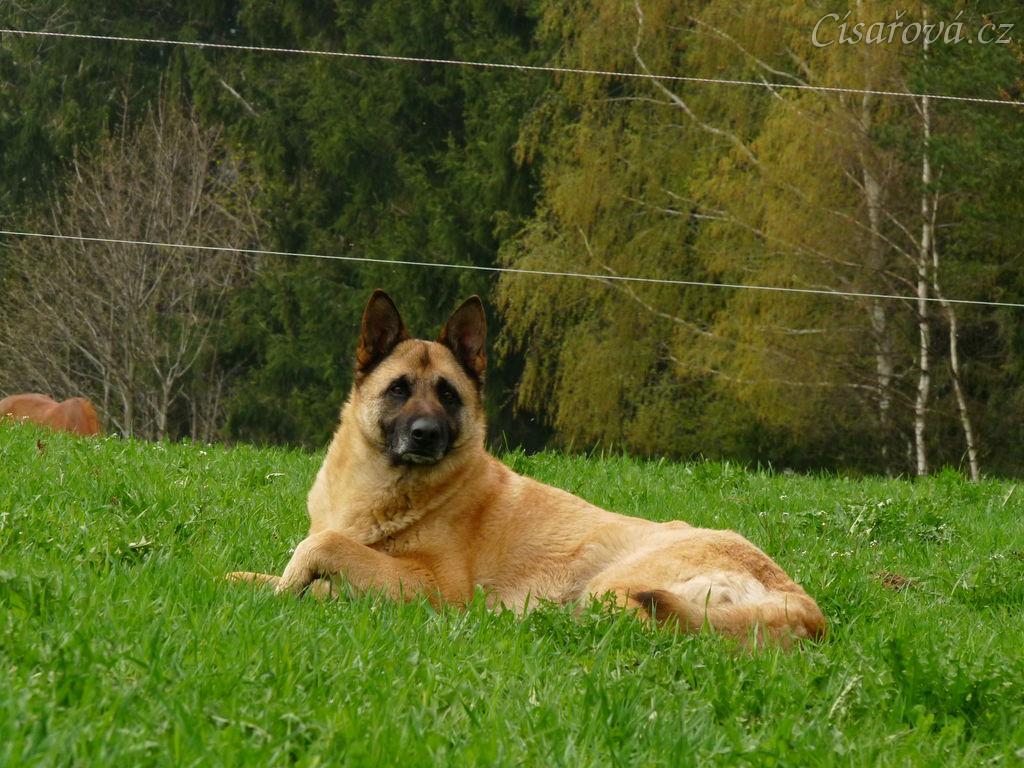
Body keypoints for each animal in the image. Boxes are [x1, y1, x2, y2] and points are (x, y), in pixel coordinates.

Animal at [229, 290, 825, 647]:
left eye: (448, 395)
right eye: (399, 389)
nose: (425, 435)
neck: (390, 490)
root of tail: (803, 606)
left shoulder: (434, 588)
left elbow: (320, 548)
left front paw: (284, 589)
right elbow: (283, 573)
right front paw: (248, 582)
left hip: (612, 589)